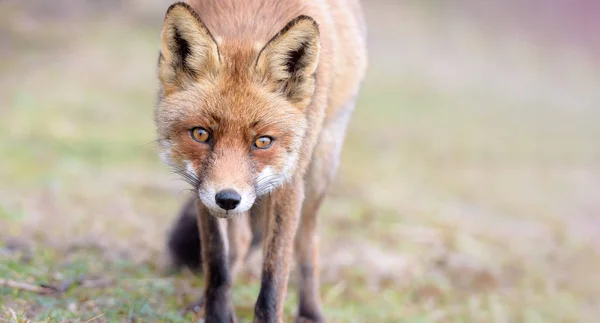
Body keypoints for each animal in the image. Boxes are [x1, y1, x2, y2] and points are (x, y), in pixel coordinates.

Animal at [155, 1, 366, 322]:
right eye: (201, 134)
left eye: (263, 141)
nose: (228, 199)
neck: (247, 17)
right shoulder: (201, 188)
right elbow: (217, 264)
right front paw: (217, 315)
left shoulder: (289, 181)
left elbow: (274, 278)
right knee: (241, 241)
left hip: (321, 166)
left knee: (307, 240)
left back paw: (311, 311)